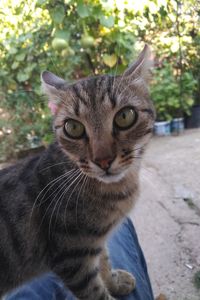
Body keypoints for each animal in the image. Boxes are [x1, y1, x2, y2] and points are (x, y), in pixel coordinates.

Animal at [0, 44, 155, 298]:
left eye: (125, 116)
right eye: (73, 127)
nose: (103, 160)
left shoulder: (93, 244)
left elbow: (104, 261)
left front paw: (115, 281)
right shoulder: (71, 258)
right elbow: (97, 292)